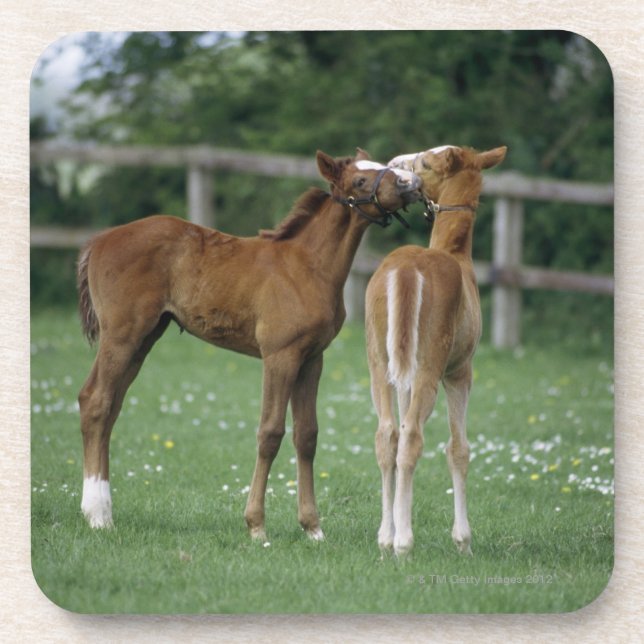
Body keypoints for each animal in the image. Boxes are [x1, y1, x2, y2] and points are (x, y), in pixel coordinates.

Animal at [76, 148, 422, 541]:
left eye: (383, 166)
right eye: (361, 180)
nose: (410, 183)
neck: (308, 267)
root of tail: (99, 241)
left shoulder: (311, 359)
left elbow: (307, 436)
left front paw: (313, 528)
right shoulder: (280, 356)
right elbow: (270, 432)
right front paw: (257, 526)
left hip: (144, 338)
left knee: (111, 407)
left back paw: (101, 508)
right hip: (122, 335)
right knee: (96, 401)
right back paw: (98, 515)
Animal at [365, 144, 507, 556]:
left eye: (426, 161)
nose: (396, 165)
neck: (454, 252)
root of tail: (406, 269)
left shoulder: (405, 374)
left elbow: (397, 436)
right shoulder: (460, 372)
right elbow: (458, 449)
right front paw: (463, 540)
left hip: (380, 361)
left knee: (388, 435)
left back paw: (386, 538)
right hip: (430, 365)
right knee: (412, 437)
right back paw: (404, 543)